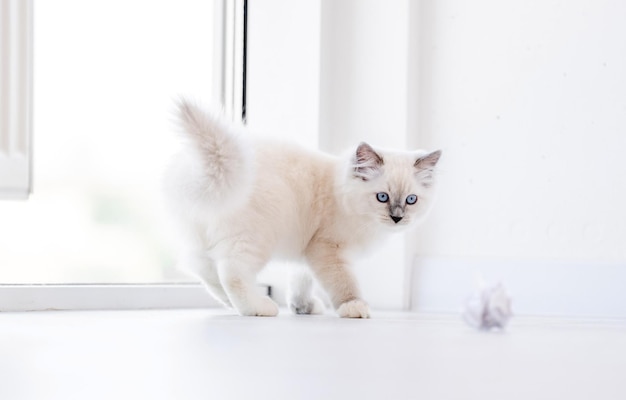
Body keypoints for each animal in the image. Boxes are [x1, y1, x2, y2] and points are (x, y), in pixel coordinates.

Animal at [163, 100, 442, 318]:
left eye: (411, 200)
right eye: (382, 197)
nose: (397, 218)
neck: (339, 192)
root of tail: (206, 167)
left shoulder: (307, 251)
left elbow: (301, 282)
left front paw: (303, 308)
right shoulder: (328, 249)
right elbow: (343, 283)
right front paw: (354, 307)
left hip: (203, 242)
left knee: (205, 271)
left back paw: (232, 304)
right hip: (257, 237)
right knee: (231, 272)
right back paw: (259, 307)